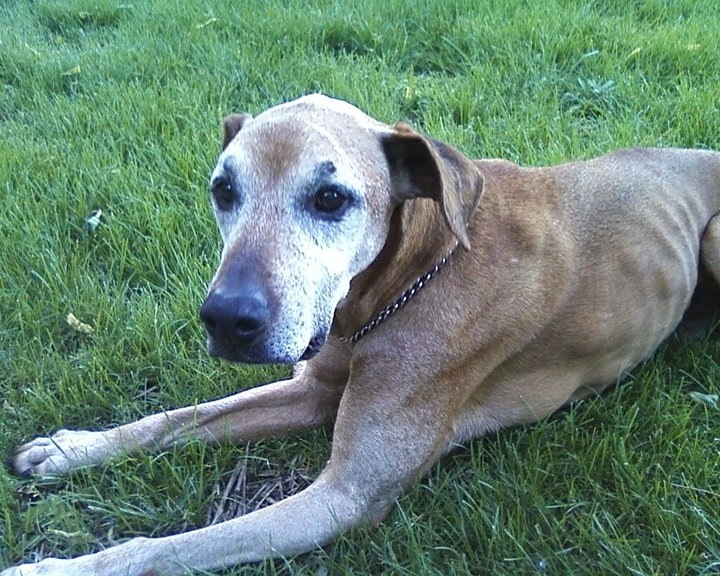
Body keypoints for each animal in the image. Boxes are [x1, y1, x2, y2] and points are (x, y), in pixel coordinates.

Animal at [1, 92, 720, 572]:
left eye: (330, 199)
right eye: (223, 189)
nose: (228, 320)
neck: (407, 278)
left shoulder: (344, 497)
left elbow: (163, 550)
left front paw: (57, 568)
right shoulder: (311, 387)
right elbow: (176, 420)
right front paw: (71, 449)